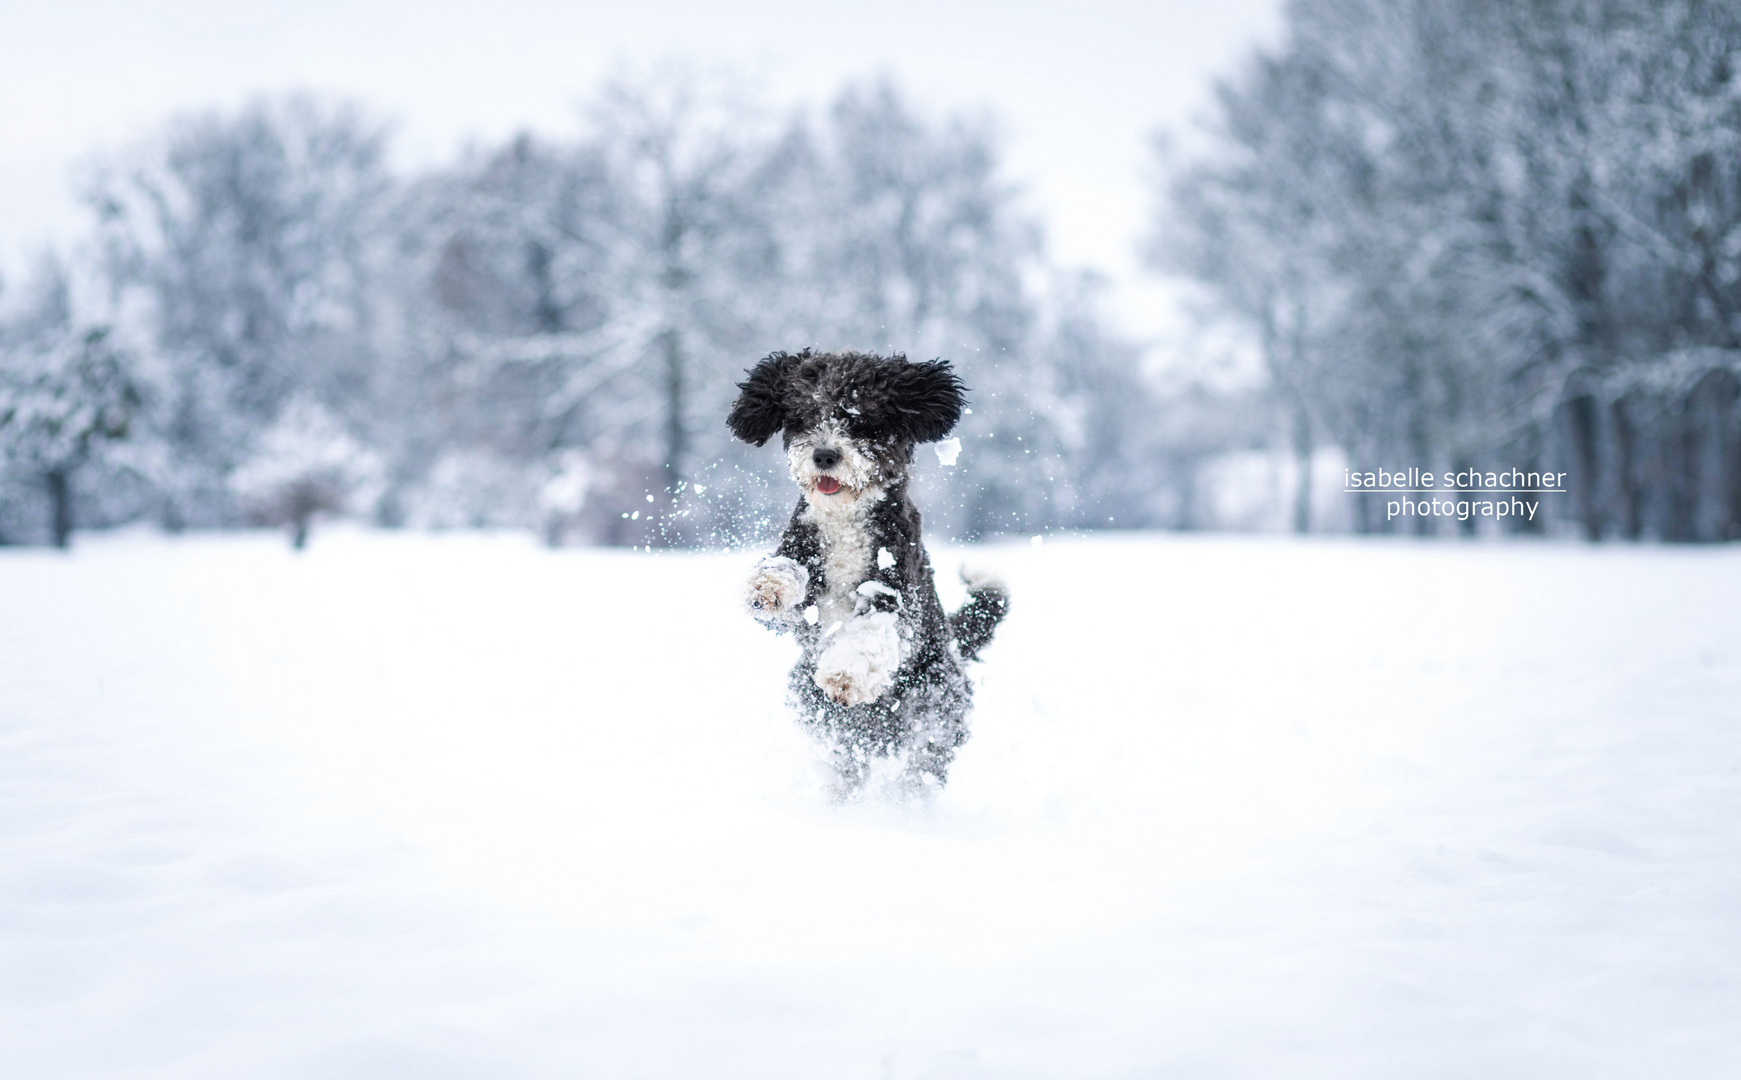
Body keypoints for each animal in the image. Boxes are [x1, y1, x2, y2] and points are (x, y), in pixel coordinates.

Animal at [727, 348, 1016, 794]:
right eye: (804, 415)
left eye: (860, 419)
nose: (825, 455)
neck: (845, 520)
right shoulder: (802, 577)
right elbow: (785, 577)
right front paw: (770, 584)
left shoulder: (897, 594)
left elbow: (870, 632)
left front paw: (845, 674)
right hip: (819, 710)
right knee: (848, 761)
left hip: (935, 709)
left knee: (920, 769)